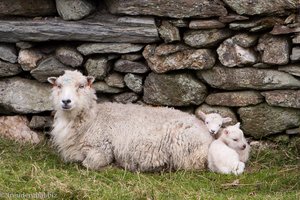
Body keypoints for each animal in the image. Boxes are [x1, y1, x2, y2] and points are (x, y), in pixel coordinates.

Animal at [47, 70, 213, 172]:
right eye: (58, 85)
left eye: (81, 86)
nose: (66, 101)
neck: (92, 119)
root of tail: (209, 136)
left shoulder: (101, 149)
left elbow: (88, 164)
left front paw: (113, 166)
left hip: (186, 155)